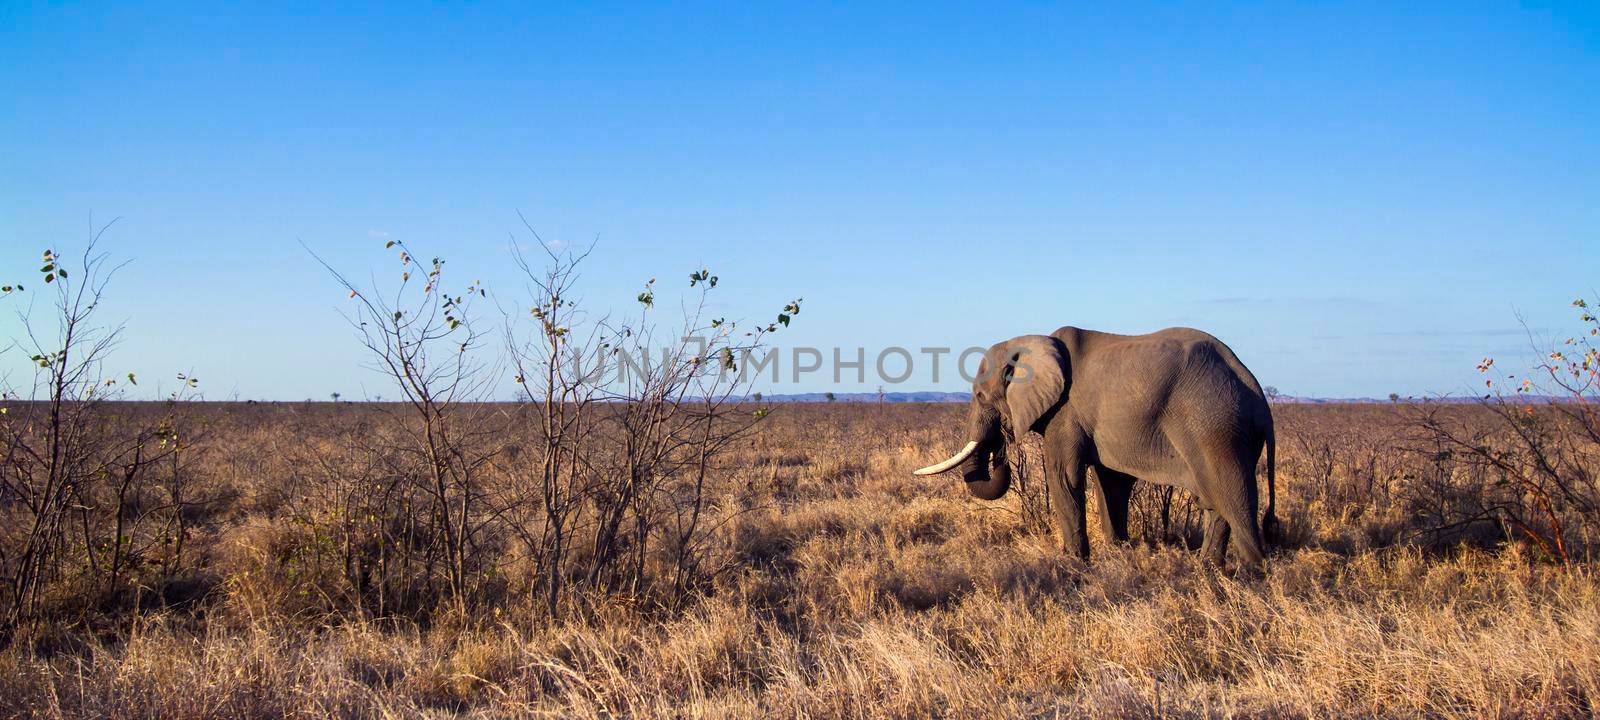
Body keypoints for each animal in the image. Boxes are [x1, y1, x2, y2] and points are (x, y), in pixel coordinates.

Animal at [921, 326, 1280, 569]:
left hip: (1217, 426)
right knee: (1214, 502)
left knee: (1234, 499)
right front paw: (1119, 550)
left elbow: (1064, 476)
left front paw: (1072, 562)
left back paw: (1251, 574)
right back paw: (1207, 568)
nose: (1003, 449)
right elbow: (1110, 482)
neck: (1032, 342)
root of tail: (1256, 392)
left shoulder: (1066, 412)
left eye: (981, 396)